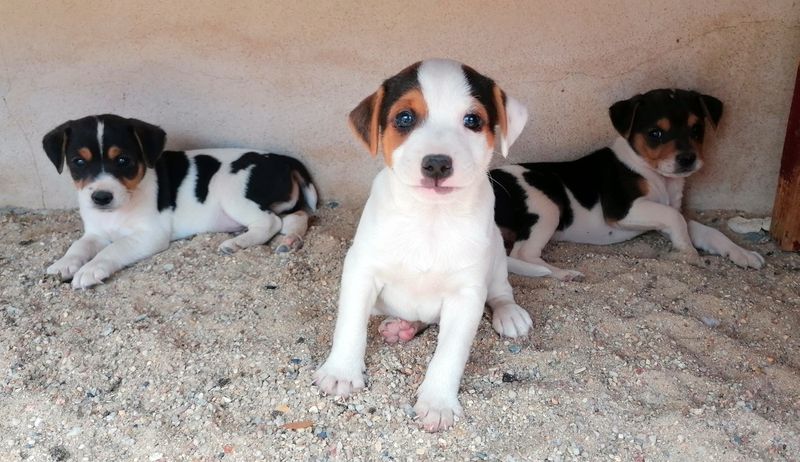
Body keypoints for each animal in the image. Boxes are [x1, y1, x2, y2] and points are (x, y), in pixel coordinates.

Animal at [42, 114, 317, 289]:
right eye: (78, 162)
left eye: (123, 160)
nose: (101, 197)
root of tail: (284, 160)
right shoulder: (95, 233)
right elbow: (78, 246)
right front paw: (63, 264)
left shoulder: (150, 234)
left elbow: (114, 248)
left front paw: (90, 269)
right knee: (296, 216)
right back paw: (290, 242)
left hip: (232, 191)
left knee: (270, 222)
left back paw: (237, 243)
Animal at [313, 59, 539, 432]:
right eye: (405, 118)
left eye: (473, 120)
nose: (436, 163)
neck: (430, 218)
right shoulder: (361, 270)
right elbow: (350, 325)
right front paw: (342, 371)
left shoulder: (465, 296)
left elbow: (449, 354)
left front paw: (438, 402)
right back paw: (402, 326)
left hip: (495, 260)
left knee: (501, 292)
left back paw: (509, 313)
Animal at [490, 89, 765, 281]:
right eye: (656, 134)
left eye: (697, 130)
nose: (688, 159)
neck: (656, 175)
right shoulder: (621, 208)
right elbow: (675, 219)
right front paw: (686, 252)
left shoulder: (665, 213)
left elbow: (703, 229)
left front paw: (741, 253)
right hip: (546, 206)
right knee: (522, 255)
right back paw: (562, 273)